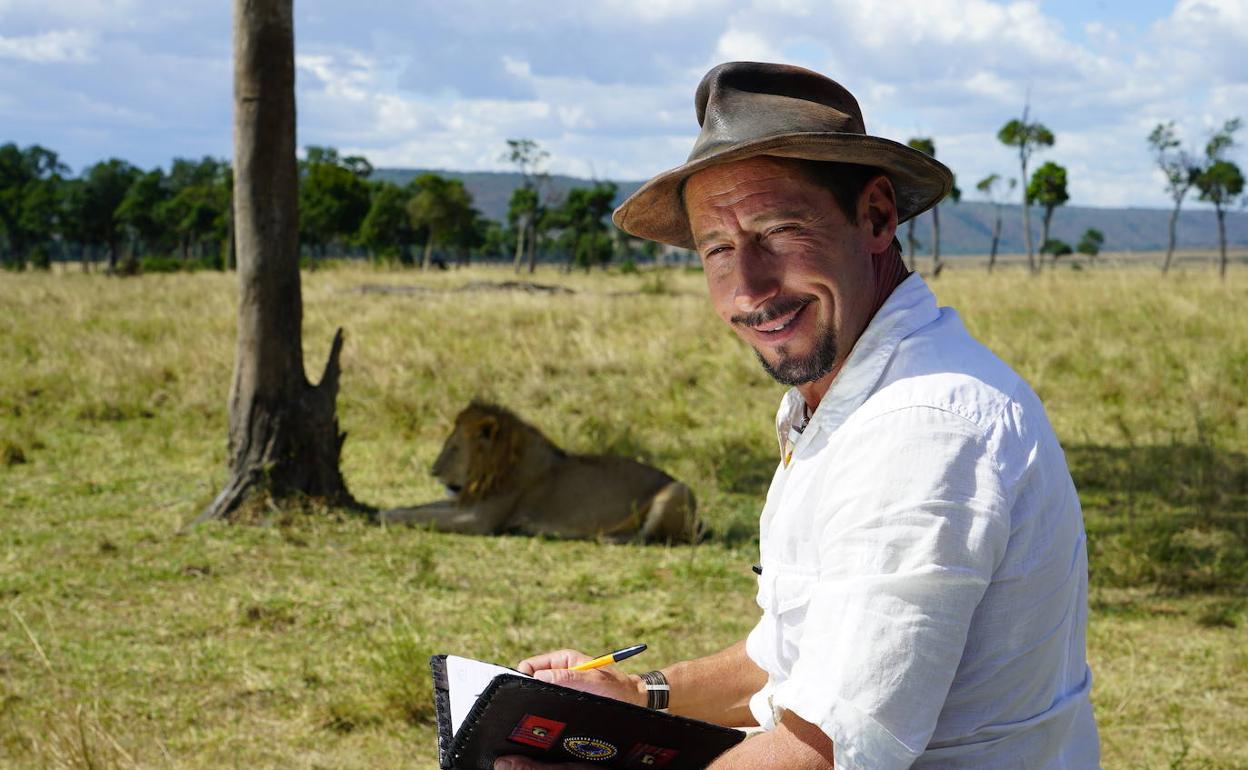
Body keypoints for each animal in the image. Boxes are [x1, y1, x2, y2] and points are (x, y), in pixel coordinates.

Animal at [374, 401, 698, 541]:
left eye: (453, 448)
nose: (433, 471)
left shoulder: (480, 519)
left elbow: (424, 516)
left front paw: (380, 516)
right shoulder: (466, 503)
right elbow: (420, 507)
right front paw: (380, 509)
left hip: (678, 490)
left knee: (652, 537)